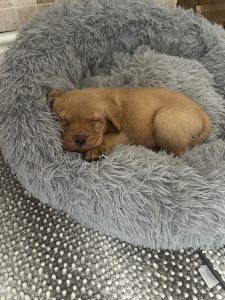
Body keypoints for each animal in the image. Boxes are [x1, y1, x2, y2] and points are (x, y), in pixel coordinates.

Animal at [49, 86, 211, 161]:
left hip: (164, 121)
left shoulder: (122, 135)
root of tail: (203, 115)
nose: (80, 139)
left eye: (95, 120)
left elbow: (106, 138)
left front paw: (95, 150)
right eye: (63, 120)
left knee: (178, 152)